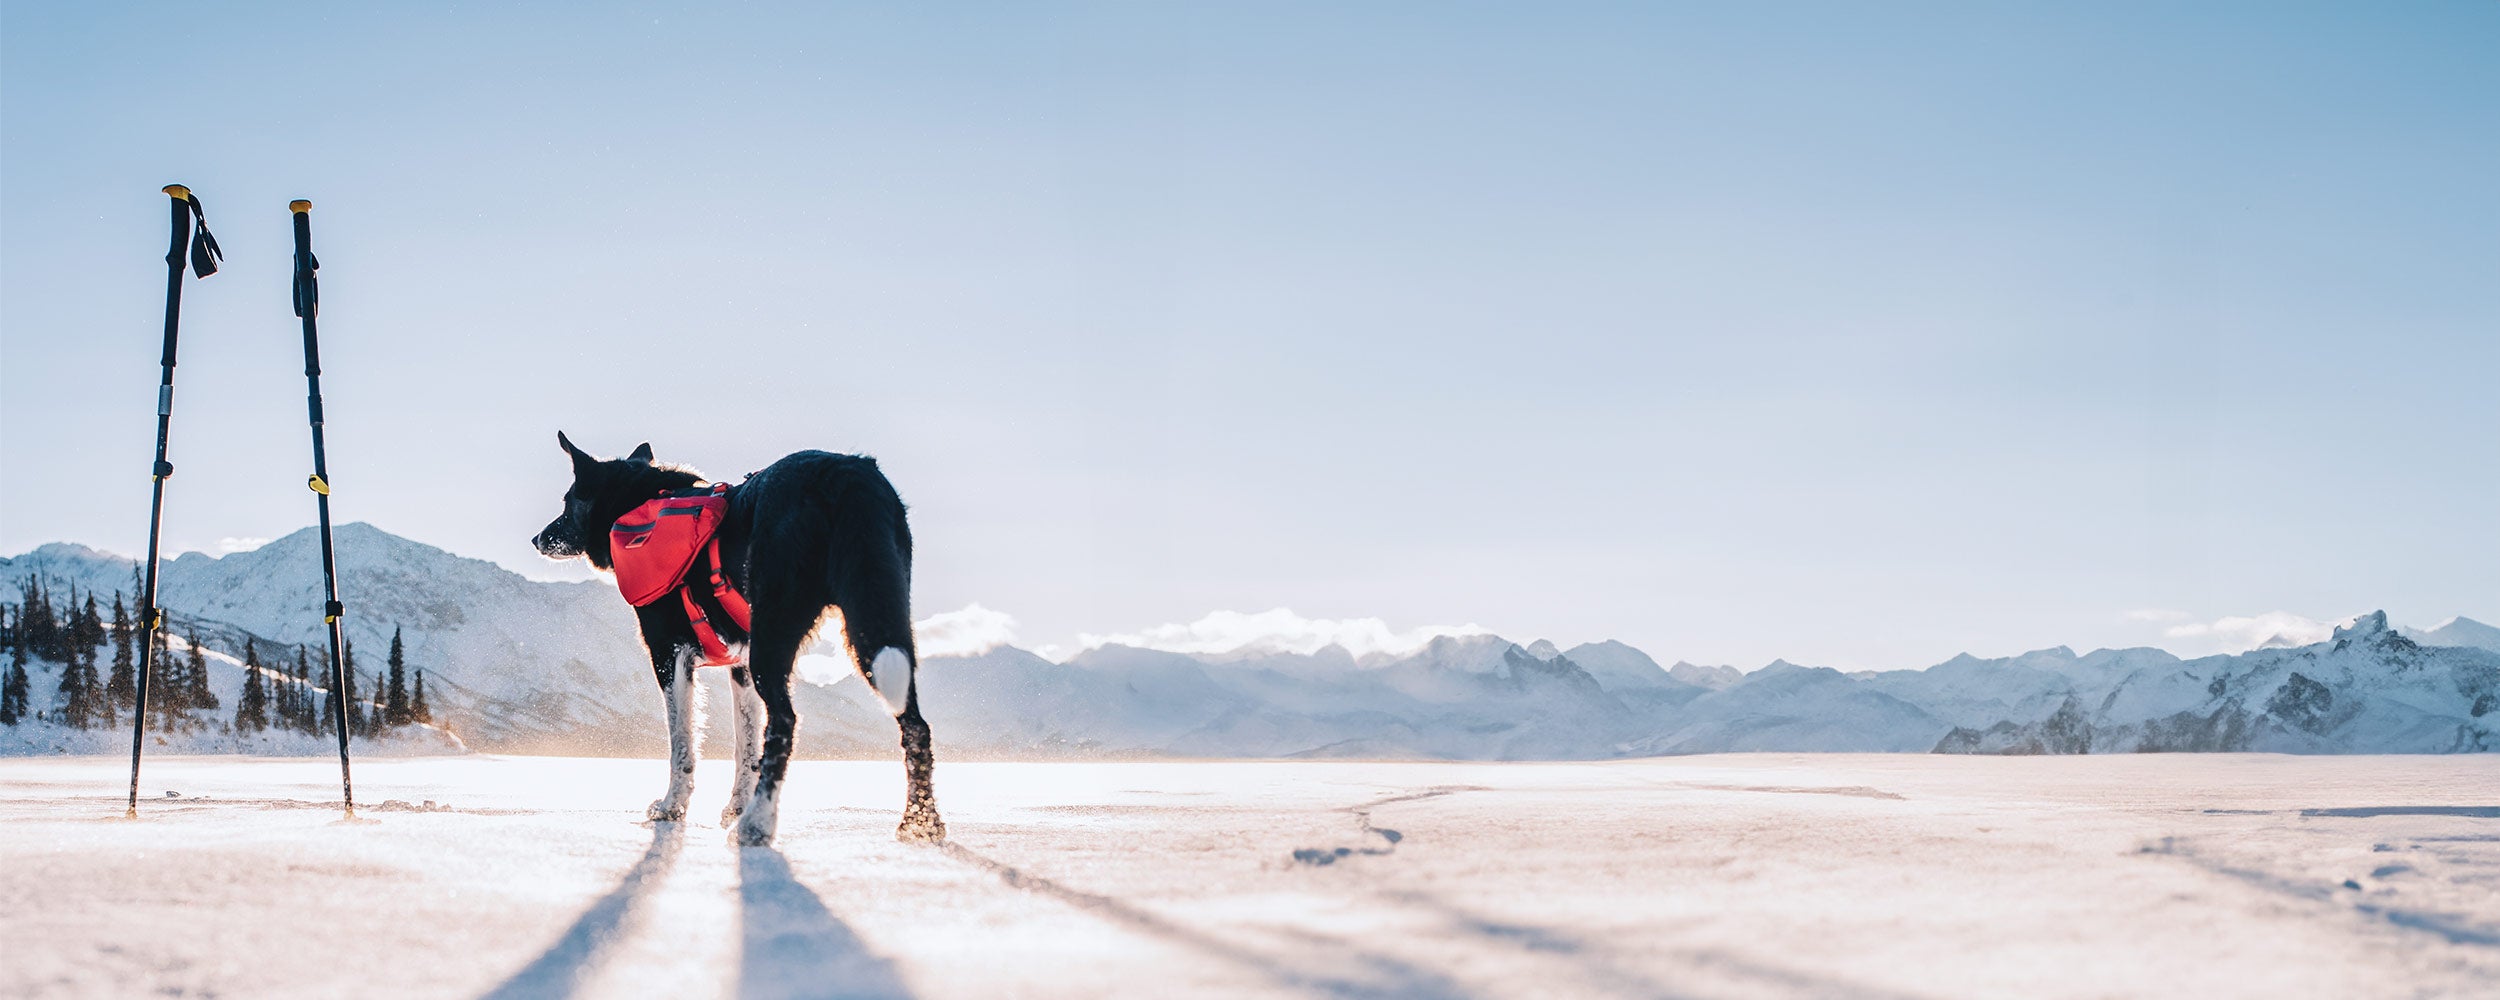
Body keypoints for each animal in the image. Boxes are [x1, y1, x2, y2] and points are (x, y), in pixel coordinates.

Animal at [527, 432, 945, 850]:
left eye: (568, 501)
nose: (537, 538)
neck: (638, 504)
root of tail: (846, 476)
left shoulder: (668, 653)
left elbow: (682, 743)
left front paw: (673, 806)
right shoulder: (740, 667)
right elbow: (745, 745)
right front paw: (736, 805)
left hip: (776, 632)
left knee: (785, 723)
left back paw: (758, 823)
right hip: (876, 622)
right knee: (916, 725)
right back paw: (921, 823)